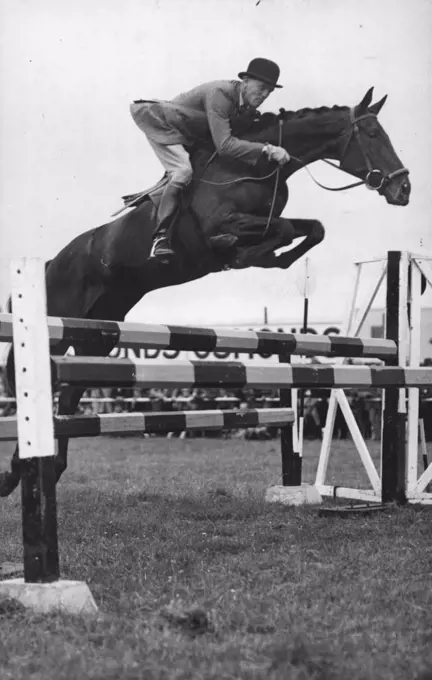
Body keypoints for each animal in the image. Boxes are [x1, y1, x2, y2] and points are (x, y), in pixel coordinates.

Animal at [0, 87, 412, 496]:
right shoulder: (224, 224)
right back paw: (19, 471)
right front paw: (246, 253)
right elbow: (269, 232)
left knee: (68, 396)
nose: (404, 188)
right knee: (42, 384)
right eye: (372, 134)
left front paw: (273, 258)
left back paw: (34, 471)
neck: (252, 166)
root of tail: (50, 263)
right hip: (58, 330)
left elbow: (312, 228)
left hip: (96, 337)